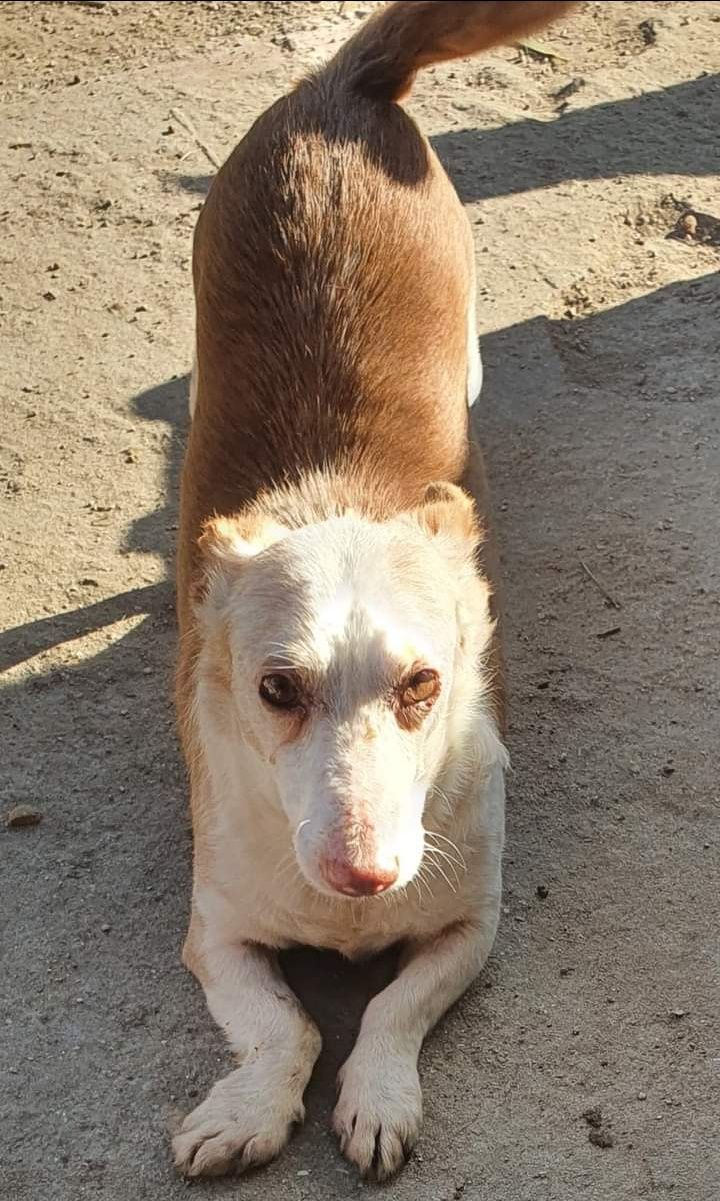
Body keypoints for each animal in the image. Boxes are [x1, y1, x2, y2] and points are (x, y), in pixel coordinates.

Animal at [174, 0, 578, 1181]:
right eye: (275, 689)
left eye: (422, 685)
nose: (365, 877)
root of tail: (342, 83)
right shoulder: (214, 931)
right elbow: (286, 1023)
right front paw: (248, 1106)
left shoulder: (470, 927)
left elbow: (392, 1009)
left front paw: (380, 1095)